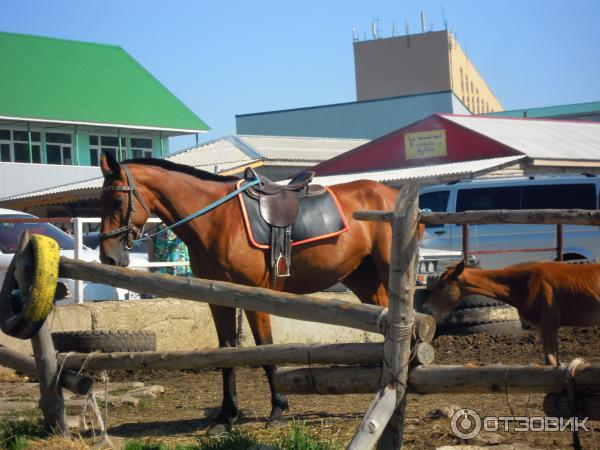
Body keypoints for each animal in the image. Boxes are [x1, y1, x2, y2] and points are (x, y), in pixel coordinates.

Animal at [98, 152, 398, 432]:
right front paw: (225, 416)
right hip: (364, 278)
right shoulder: (218, 300)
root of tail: (392, 194)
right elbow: (226, 353)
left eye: (117, 201)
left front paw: (278, 409)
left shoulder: (255, 296)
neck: (216, 219)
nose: (107, 257)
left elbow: (265, 349)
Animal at [424, 260, 600, 366]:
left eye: (443, 285)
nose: (426, 308)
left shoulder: (549, 323)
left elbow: (551, 361)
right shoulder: (547, 327)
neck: (525, 282)